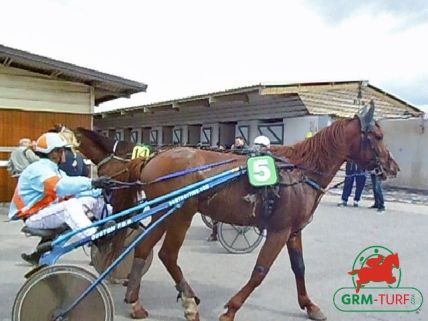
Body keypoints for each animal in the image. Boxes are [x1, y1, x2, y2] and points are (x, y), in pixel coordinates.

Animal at [75, 107, 400, 320]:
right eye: (378, 135)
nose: (393, 167)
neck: (298, 171)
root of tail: (154, 156)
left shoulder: (293, 230)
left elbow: (299, 268)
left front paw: (310, 306)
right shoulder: (279, 230)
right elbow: (259, 272)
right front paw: (231, 309)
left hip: (163, 213)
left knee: (144, 247)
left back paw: (136, 301)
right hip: (180, 214)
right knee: (168, 254)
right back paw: (188, 302)